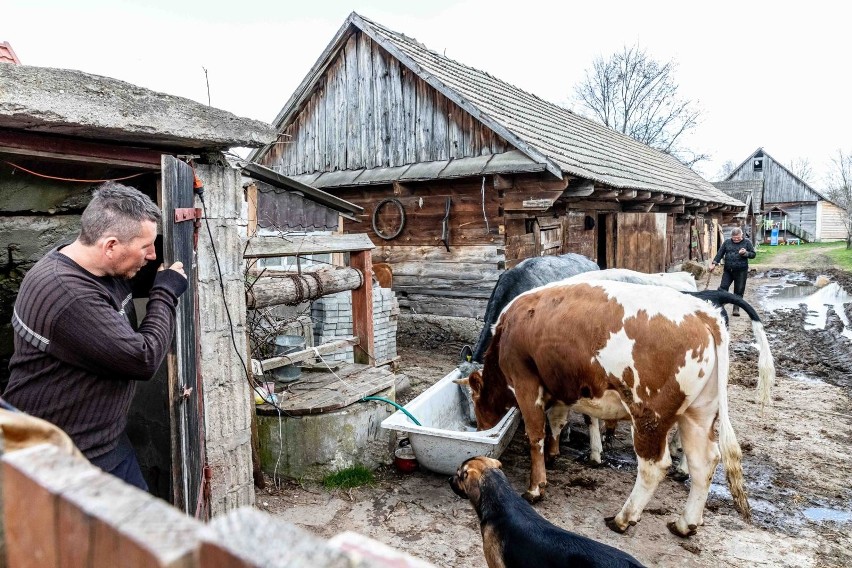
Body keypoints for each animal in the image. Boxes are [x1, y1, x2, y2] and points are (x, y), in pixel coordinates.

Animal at [462, 280, 776, 536]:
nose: (480, 428)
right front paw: (556, 452)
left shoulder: (526, 383)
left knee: (654, 467)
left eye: (475, 403)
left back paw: (623, 518)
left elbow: (535, 435)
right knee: (704, 463)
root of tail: (701, 310)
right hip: (698, 413)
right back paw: (684, 524)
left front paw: (535, 486)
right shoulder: (559, 387)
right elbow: (558, 421)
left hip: (649, 416)